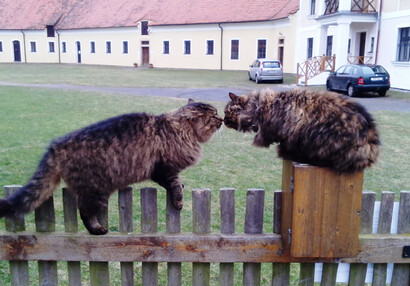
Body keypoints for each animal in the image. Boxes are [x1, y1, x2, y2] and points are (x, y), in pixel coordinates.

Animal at [0, 99, 223, 235]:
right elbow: (174, 185)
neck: (177, 130)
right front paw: (179, 200)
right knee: (85, 212)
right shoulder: (163, 169)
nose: (221, 119)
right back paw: (97, 230)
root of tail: (56, 145)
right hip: (96, 191)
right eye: (213, 117)